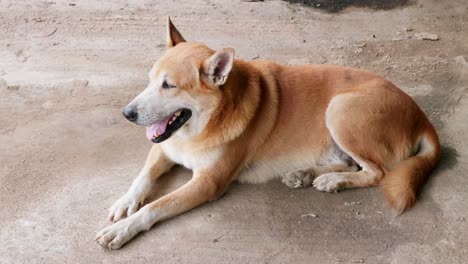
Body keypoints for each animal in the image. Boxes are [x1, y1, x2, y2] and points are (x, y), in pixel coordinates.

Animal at [94, 17, 438, 249]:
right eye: (150, 79)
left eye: (169, 85)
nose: (127, 114)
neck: (201, 127)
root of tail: (421, 116)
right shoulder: (163, 147)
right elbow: (142, 177)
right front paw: (124, 202)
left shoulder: (208, 183)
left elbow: (156, 206)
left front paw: (123, 229)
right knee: (354, 164)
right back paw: (307, 174)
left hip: (340, 109)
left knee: (378, 172)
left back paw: (332, 180)